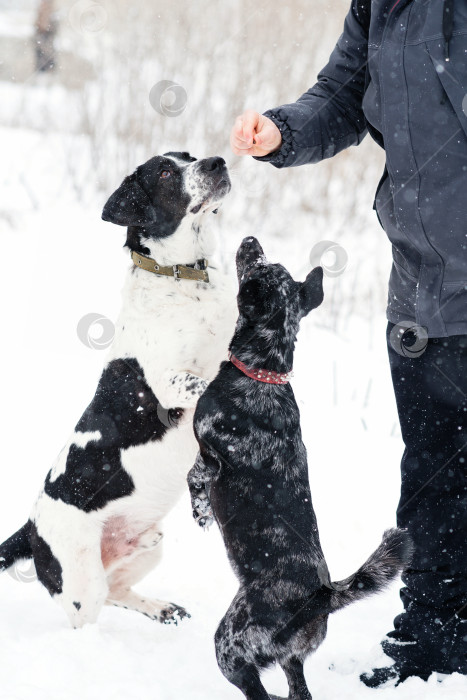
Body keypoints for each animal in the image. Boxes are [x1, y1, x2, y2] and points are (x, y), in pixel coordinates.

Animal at [0, 150, 238, 628]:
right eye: (164, 171)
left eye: (189, 155)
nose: (217, 161)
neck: (183, 277)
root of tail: (31, 528)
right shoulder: (168, 383)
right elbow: (207, 382)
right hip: (81, 583)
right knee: (91, 611)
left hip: (149, 545)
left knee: (119, 589)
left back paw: (163, 609)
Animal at [187, 237, 414, 700]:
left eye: (260, 265)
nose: (251, 240)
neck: (264, 372)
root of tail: (322, 595)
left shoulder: (207, 451)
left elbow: (195, 476)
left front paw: (200, 511)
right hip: (291, 657)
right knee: (298, 691)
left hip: (230, 643)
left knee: (255, 688)